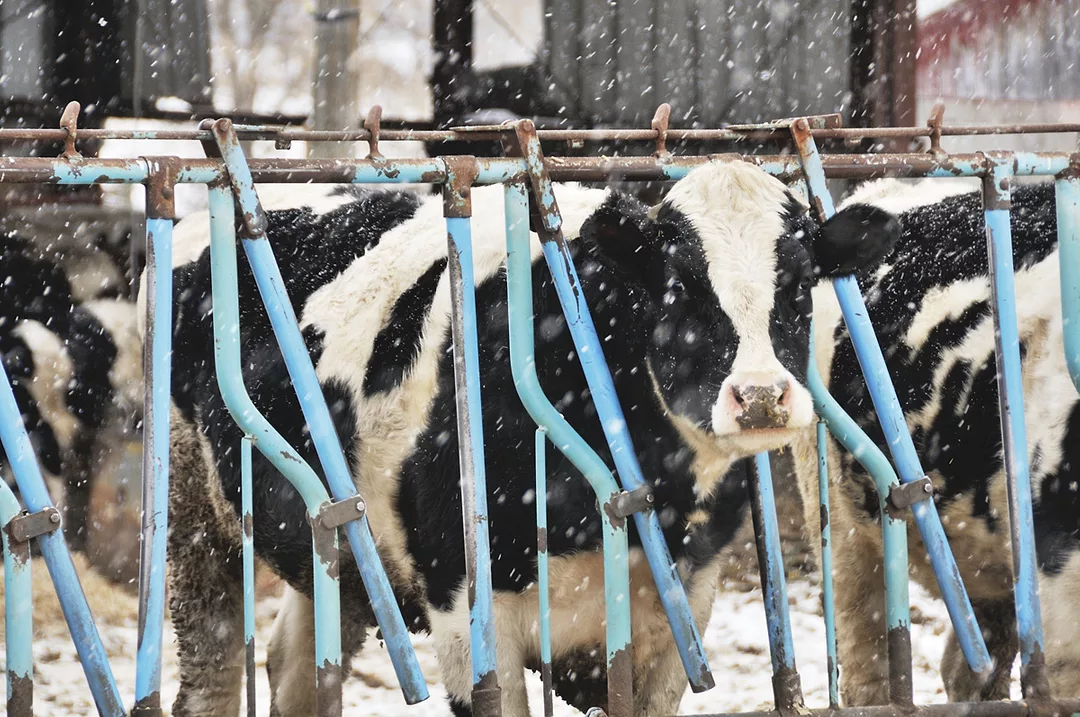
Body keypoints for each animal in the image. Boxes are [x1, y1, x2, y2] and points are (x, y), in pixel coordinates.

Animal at [148, 162, 897, 717]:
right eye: (679, 284)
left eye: (800, 284)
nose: (762, 394)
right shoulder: (462, 610)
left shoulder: (683, 607)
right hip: (195, 523)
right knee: (213, 674)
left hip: (333, 550)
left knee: (300, 669)